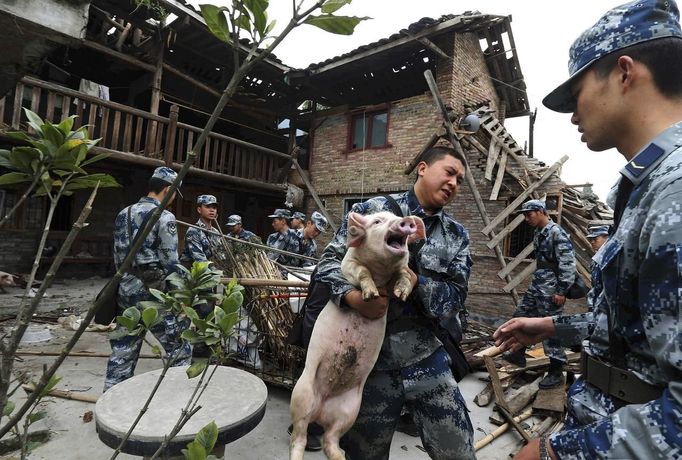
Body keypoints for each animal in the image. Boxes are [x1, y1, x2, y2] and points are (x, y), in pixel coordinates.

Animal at [288, 211, 424, 460]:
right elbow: (361, 271)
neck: (382, 273)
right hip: (302, 394)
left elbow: (405, 275)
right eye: (378, 221)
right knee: (299, 437)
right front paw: (371, 295)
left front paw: (401, 294)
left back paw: (340, 456)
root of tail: (321, 408)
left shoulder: (401, 269)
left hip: (350, 410)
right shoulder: (347, 264)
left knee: (330, 439)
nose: (406, 220)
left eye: (397, 216)